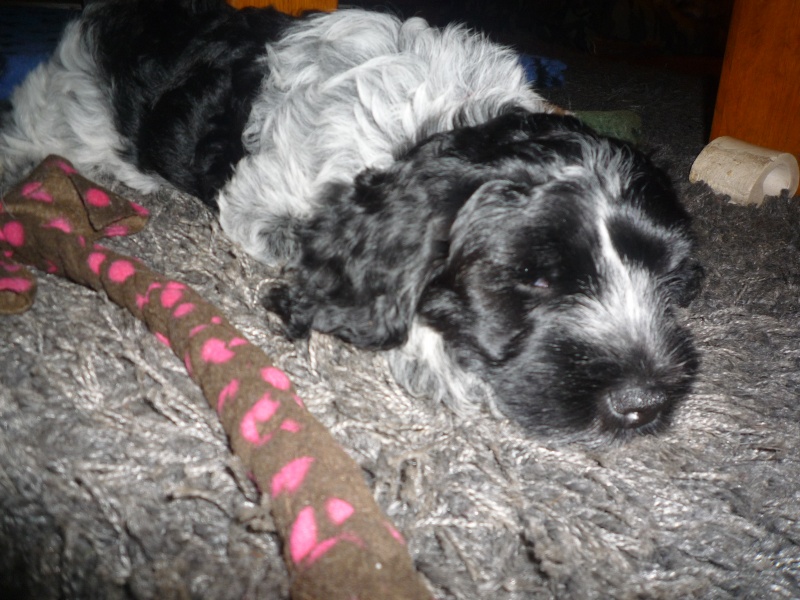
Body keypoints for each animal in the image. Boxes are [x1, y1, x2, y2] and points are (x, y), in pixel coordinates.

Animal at [0, 0, 703, 442]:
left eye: (670, 282)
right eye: (533, 278)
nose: (645, 405)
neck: (439, 120)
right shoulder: (256, 203)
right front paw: (435, 359)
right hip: (63, 118)